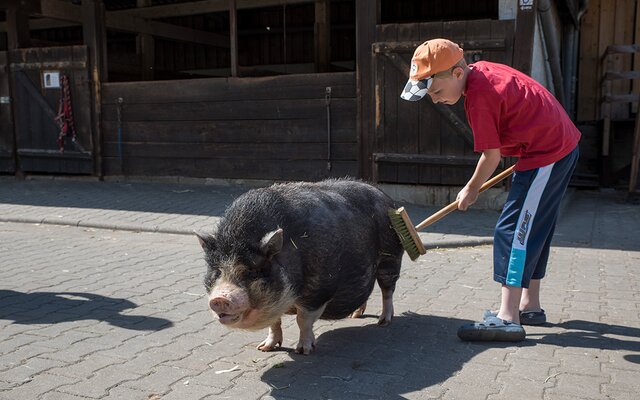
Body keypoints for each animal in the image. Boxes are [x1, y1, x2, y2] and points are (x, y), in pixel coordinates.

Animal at [198, 177, 402, 354]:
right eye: (217, 271)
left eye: (252, 271)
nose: (219, 298)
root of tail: (384, 195)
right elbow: (274, 323)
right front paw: (264, 348)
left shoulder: (318, 289)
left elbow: (302, 320)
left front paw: (303, 351)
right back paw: (355, 315)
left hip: (390, 255)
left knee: (387, 290)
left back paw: (383, 321)